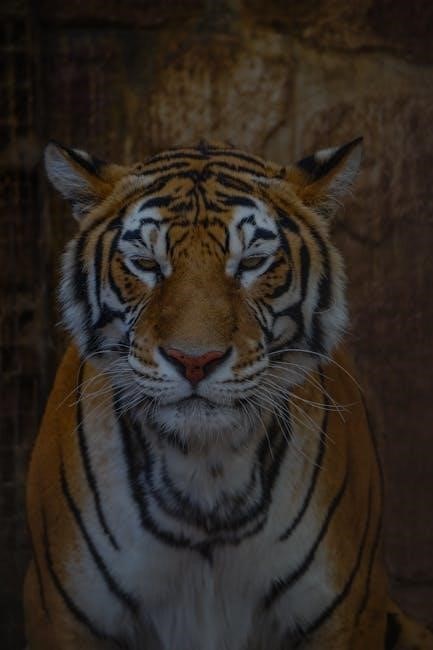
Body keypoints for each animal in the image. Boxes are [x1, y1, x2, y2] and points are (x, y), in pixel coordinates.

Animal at [24, 138, 433, 650]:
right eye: (147, 264)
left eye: (252, 263)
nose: (194, 360)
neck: (205, 469)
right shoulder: (61, 616)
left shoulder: (348, 616)